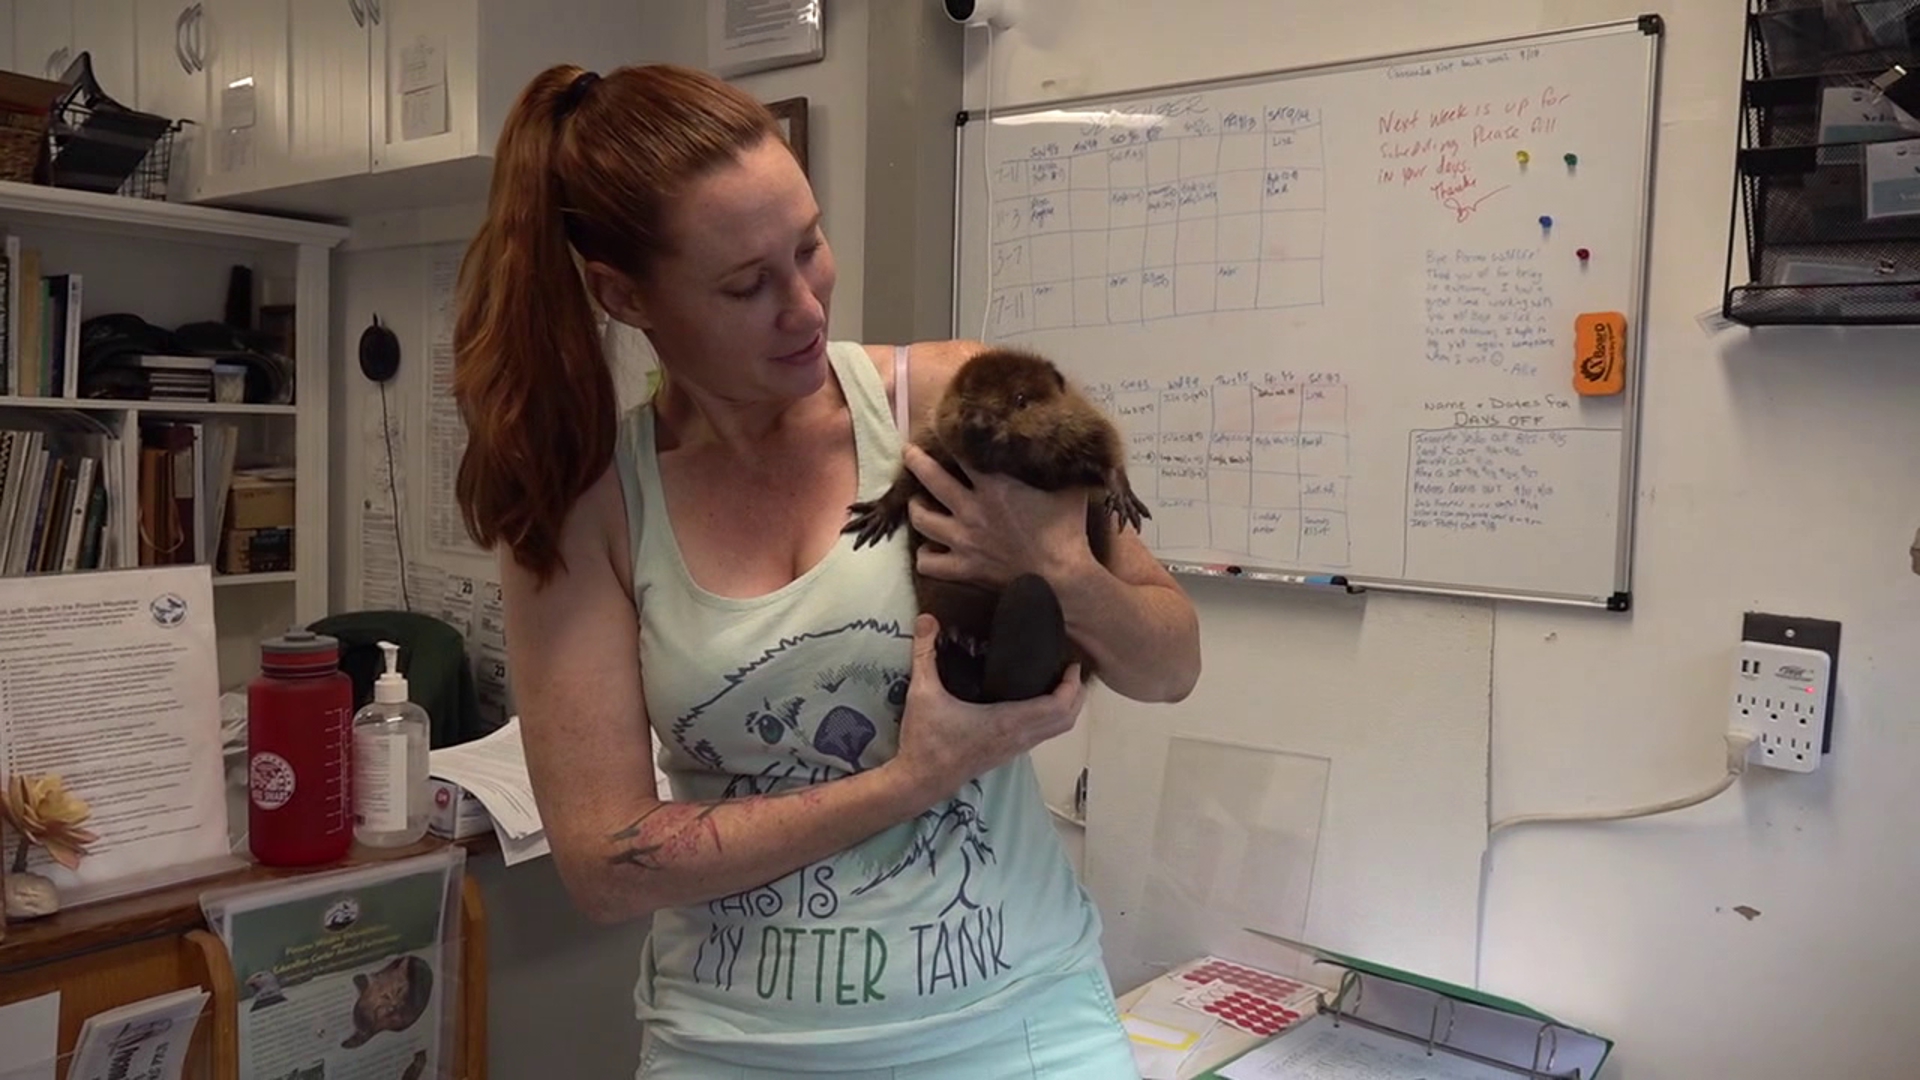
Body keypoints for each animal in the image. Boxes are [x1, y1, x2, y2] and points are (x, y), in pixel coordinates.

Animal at [848, 343, 1144, 699]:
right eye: (964, 397)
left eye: (1020, 399)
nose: (978, 422)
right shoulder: (932, 441)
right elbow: (908, 477)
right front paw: (876, 513)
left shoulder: (1078, 418)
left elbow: (1105, 443)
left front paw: (1124, 499)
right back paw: (962, 640)